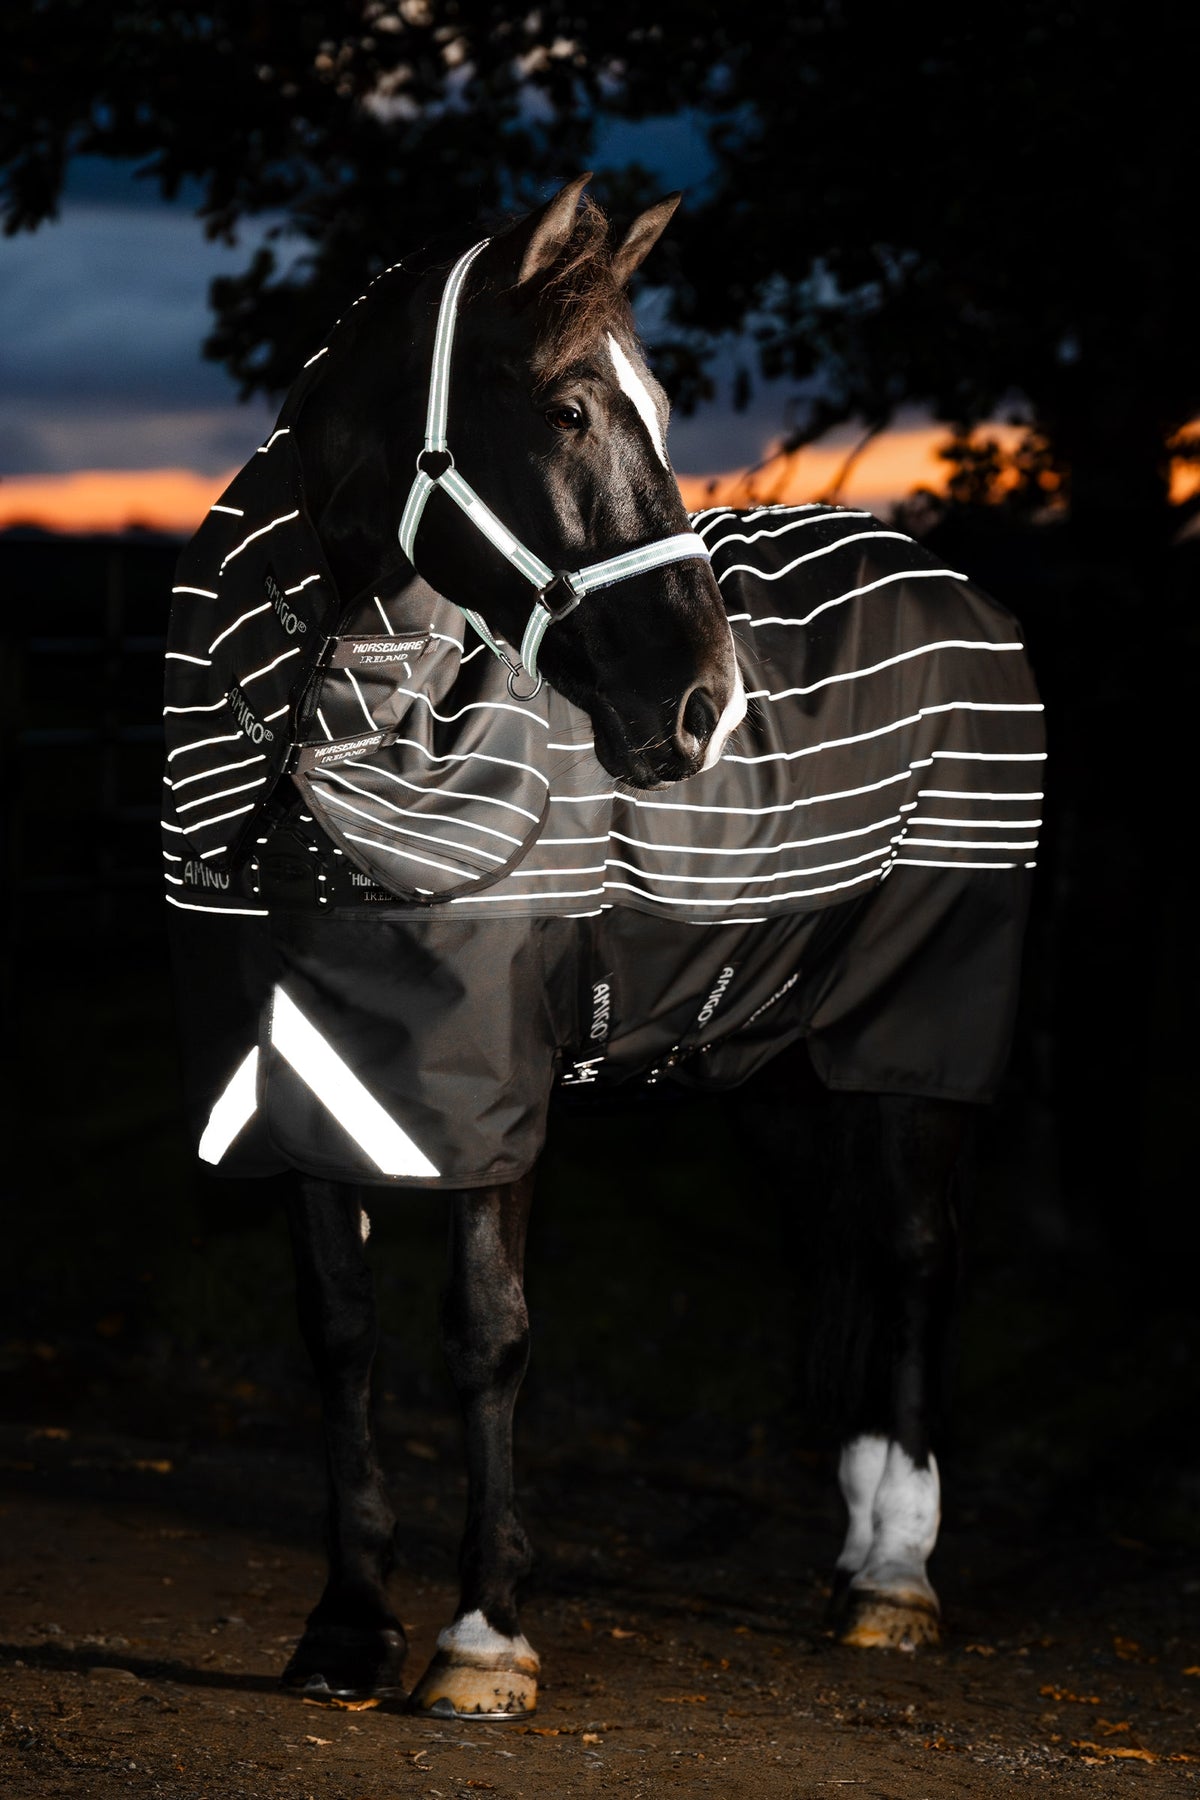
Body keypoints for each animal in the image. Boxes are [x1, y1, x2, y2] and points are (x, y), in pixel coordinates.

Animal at [161, 177, 1043, 1717]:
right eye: (570, 408)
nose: (702, 706)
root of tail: (951, 580)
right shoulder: (303, 1078)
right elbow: (341, 1331)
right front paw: (347, 1626)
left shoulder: (491, 1086)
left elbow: (488, 1330)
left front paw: (483, 1635)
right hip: (772, 1057)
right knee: (837, 1250)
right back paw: (858, 1541)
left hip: (917, 1029)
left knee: (917, 1251)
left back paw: (895, 1578)